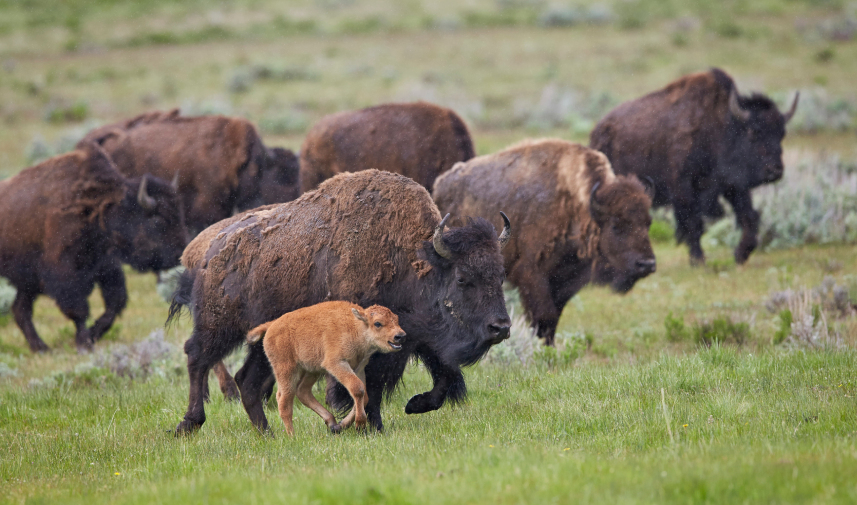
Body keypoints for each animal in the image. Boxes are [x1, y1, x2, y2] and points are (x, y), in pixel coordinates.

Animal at [0, 142, 187, 352]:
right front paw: (84, 343)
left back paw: (41, 347)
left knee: (20, 310)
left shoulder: (107, 267)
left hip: (25, 282)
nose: (181, 252)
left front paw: (93, 334)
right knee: (22, 310)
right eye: (157, 220)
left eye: (180, 214)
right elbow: (78, 311)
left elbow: (114, 305)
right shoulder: (66, 275)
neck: (99, 207)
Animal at [246, 301, 406, 436]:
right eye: (377, 323)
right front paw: (359, 424)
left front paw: (342, 425)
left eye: (396, 319)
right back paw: (292, 435)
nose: (400, 336)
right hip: (287, 370)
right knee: (284, 400)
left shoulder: (358, 368)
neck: (355, 326)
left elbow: (363, 395)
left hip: (311, 370)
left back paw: (331, 423)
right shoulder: (336, 364)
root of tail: (271, 325)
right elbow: (357, 389)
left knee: (302, 392)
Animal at [433, 139, 656, 346]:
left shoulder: (564, 282)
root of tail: (440, 184)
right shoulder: (533, 275)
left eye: (648, 222)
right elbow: (544, 316)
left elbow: (553, 318)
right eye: (617, 225)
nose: (647, 264)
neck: (573, 204)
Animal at [589, 68, 799, 265]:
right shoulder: (685, 189)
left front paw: (741, 254)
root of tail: (598, 131)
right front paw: (698, 260)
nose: (775, 170)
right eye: (754, 131)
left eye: (781, 133)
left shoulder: (733, 186)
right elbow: (694, 223)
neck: (721, 127)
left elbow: (749, 216)